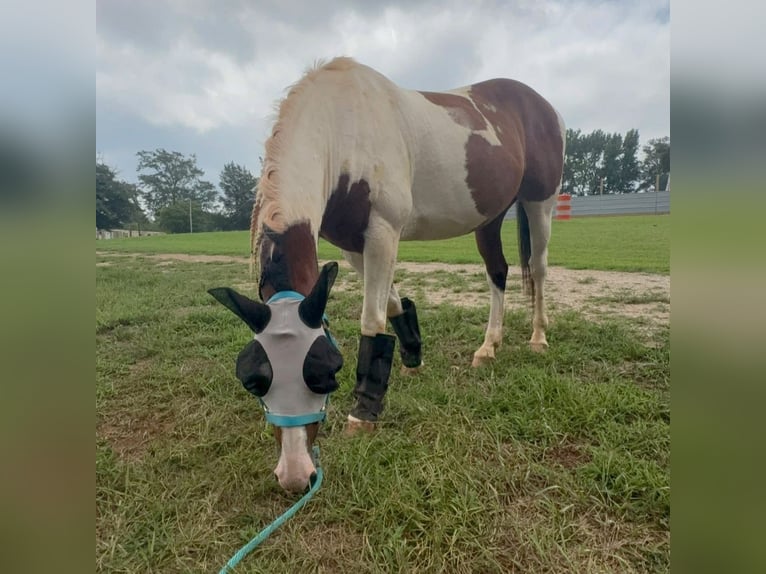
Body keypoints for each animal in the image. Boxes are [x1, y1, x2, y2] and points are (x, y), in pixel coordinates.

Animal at [209, 57, 565, 493]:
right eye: (254, 379)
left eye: (326, 371)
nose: (295, 476)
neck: (345, 126)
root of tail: (541, 104)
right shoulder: (354, 244)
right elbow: (391, 302)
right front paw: (412, 353)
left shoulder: (382, 231)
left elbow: (372, 317)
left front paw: (364, 411)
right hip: (490, 216)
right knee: (497, 272)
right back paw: (488, 346)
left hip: (540, 202)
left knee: (540, 269)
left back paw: (538, 337)